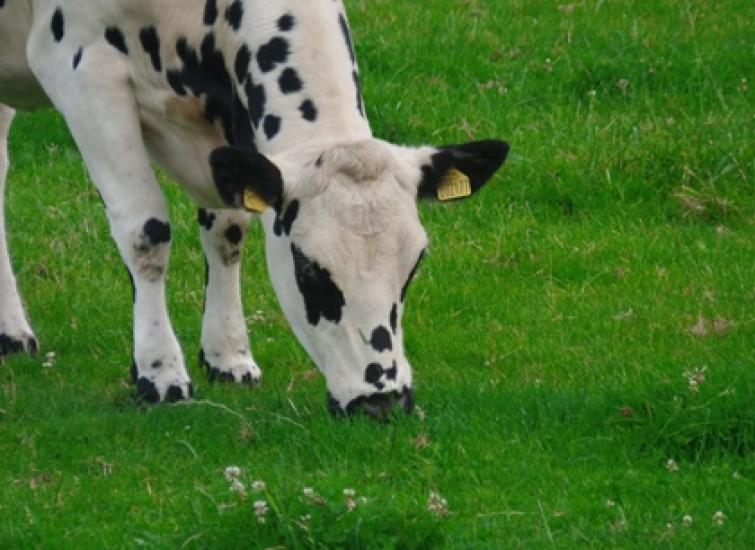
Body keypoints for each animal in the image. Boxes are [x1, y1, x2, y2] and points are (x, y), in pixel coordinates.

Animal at [0, 0, 510, 418]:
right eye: (308, 270)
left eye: (414, 265)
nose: (382, 402)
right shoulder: (81, 68)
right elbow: (146, 231)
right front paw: (159, 372)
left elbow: (229, 227)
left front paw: (227, 355)